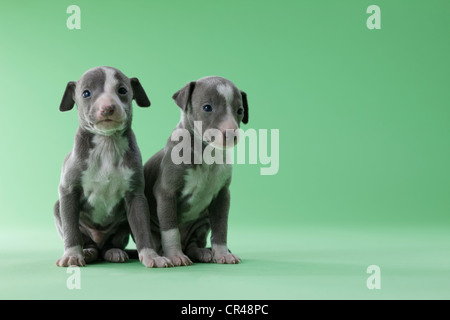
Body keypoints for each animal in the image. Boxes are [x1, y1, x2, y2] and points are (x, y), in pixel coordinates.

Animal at [53, 65, 172, 268]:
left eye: (122, 90)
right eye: (86, 93)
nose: (107, 107)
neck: (107, 144)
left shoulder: (136, 196)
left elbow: (142, 229)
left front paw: (152, 256)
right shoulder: (69, 191)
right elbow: (71, 229)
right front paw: (72, 255)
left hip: (122, 226)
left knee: (111, 244)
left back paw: (114, 252)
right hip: (58, 208)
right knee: (87, 241)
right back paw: (88, 252)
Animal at [144, 76, 248, 266]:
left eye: (240, 110)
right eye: (207, 107)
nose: (231, 134)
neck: (206, 153)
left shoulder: (223, 196)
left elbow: (221, 227)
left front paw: (222, 253)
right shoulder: (166, 193)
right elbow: (170, 230)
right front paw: (175, 255)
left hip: (201, 223)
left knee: (193, 244)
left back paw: (202, 252)